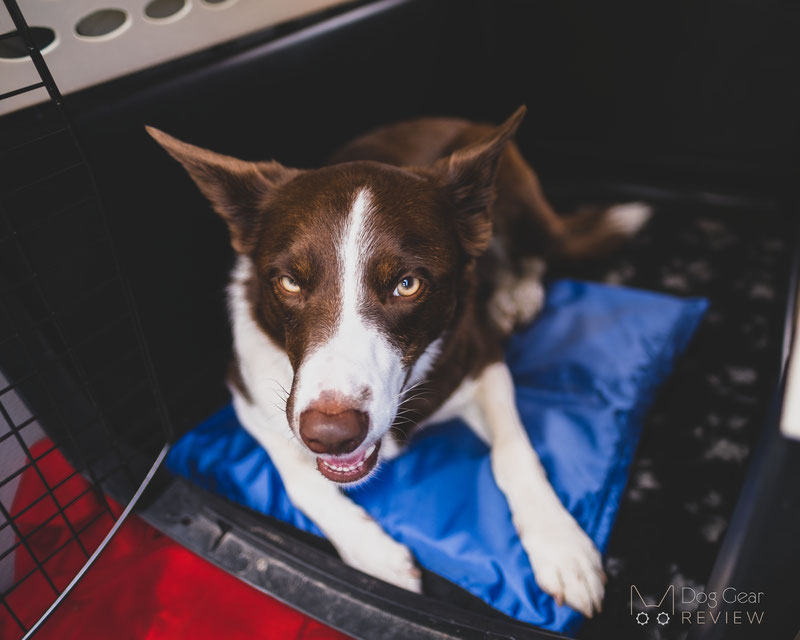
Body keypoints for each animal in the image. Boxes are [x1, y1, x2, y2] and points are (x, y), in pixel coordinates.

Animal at [148, 107, 648, 616]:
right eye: (289, 282)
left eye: (407, 285)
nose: (331, 435)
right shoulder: (245, 390)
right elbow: (297, 475)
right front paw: (375, 555)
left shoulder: (482, 356)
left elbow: (514, 451)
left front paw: (561, 546)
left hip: (519, 203)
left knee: (537, 253)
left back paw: (518, 293)